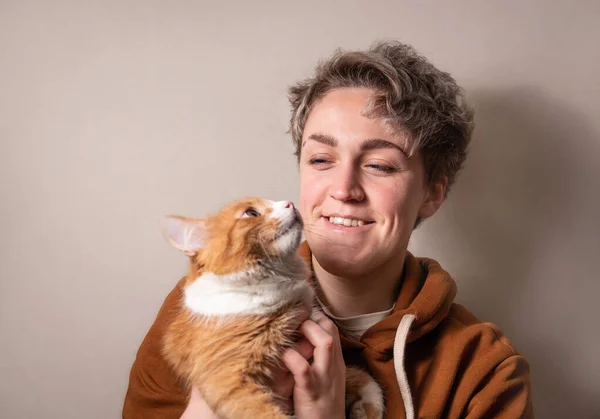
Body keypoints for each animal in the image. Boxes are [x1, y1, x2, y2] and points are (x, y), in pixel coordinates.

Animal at [159, 198, 384, 419]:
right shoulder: (227, 380)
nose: (290, 203)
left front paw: (368, 408)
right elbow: (269, 414)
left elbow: (360, 376)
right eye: (251, 213)